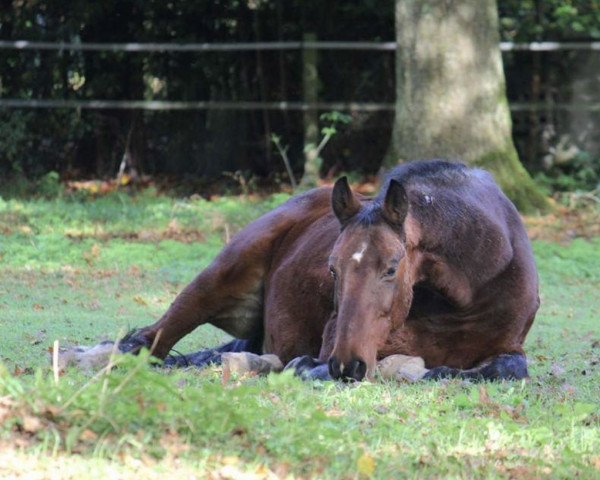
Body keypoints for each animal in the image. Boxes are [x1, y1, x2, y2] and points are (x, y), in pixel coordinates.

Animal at [65, 161, 540, 382]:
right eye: (331, 269)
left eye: (391, 268)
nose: (348, 365)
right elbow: (309, 365)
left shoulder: (509, 348)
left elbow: (505, 368)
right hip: (214, 282)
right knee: (148, 342)